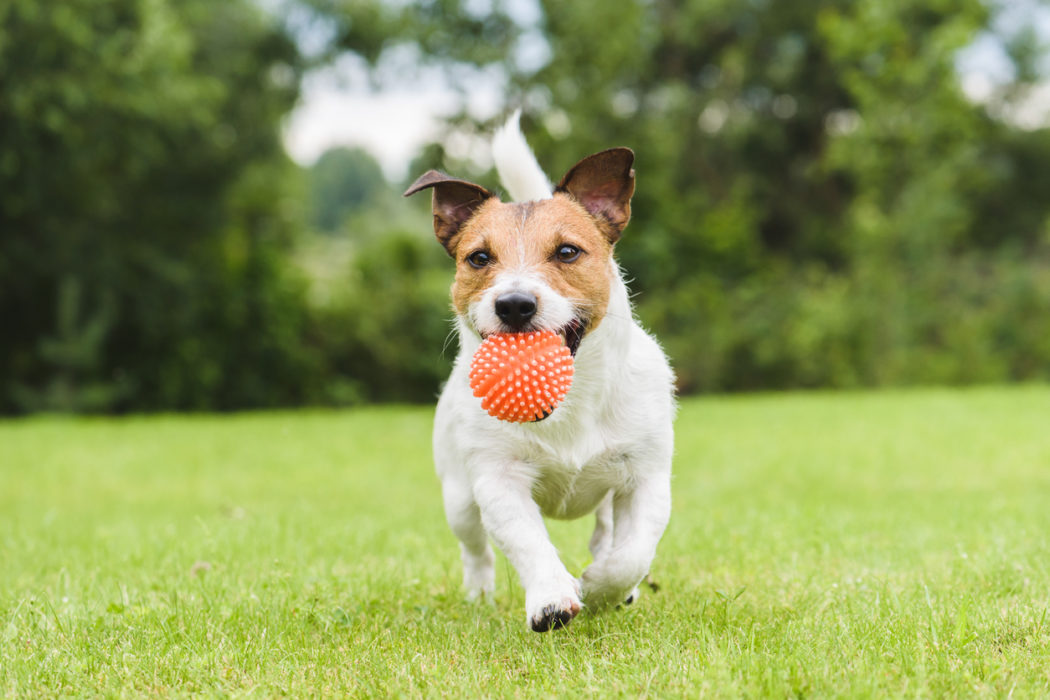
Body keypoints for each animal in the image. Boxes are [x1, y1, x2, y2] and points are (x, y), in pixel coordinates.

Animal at [401, 112, 672, 633]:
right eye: (479, 258)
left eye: (567, 252)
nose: (514, 304)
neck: (570, 401)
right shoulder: (498, 480)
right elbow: (528, 542)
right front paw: (552, 598)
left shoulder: (646, 476)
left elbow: (632, 554)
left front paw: (602, 587)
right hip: (458, 497)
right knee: (475, 549)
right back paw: (479, 594)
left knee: (606, 531)